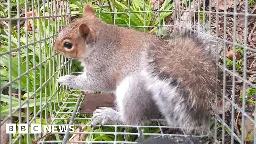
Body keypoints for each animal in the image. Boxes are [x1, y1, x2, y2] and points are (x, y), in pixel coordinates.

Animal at [54, 3, 218, 133]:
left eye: (68, 44)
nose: (54, 48)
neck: (99, 44)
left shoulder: (102, 66)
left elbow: (97, 83)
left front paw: (66, 79)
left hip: (133, 91)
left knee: (131, 120)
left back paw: (109, 115)